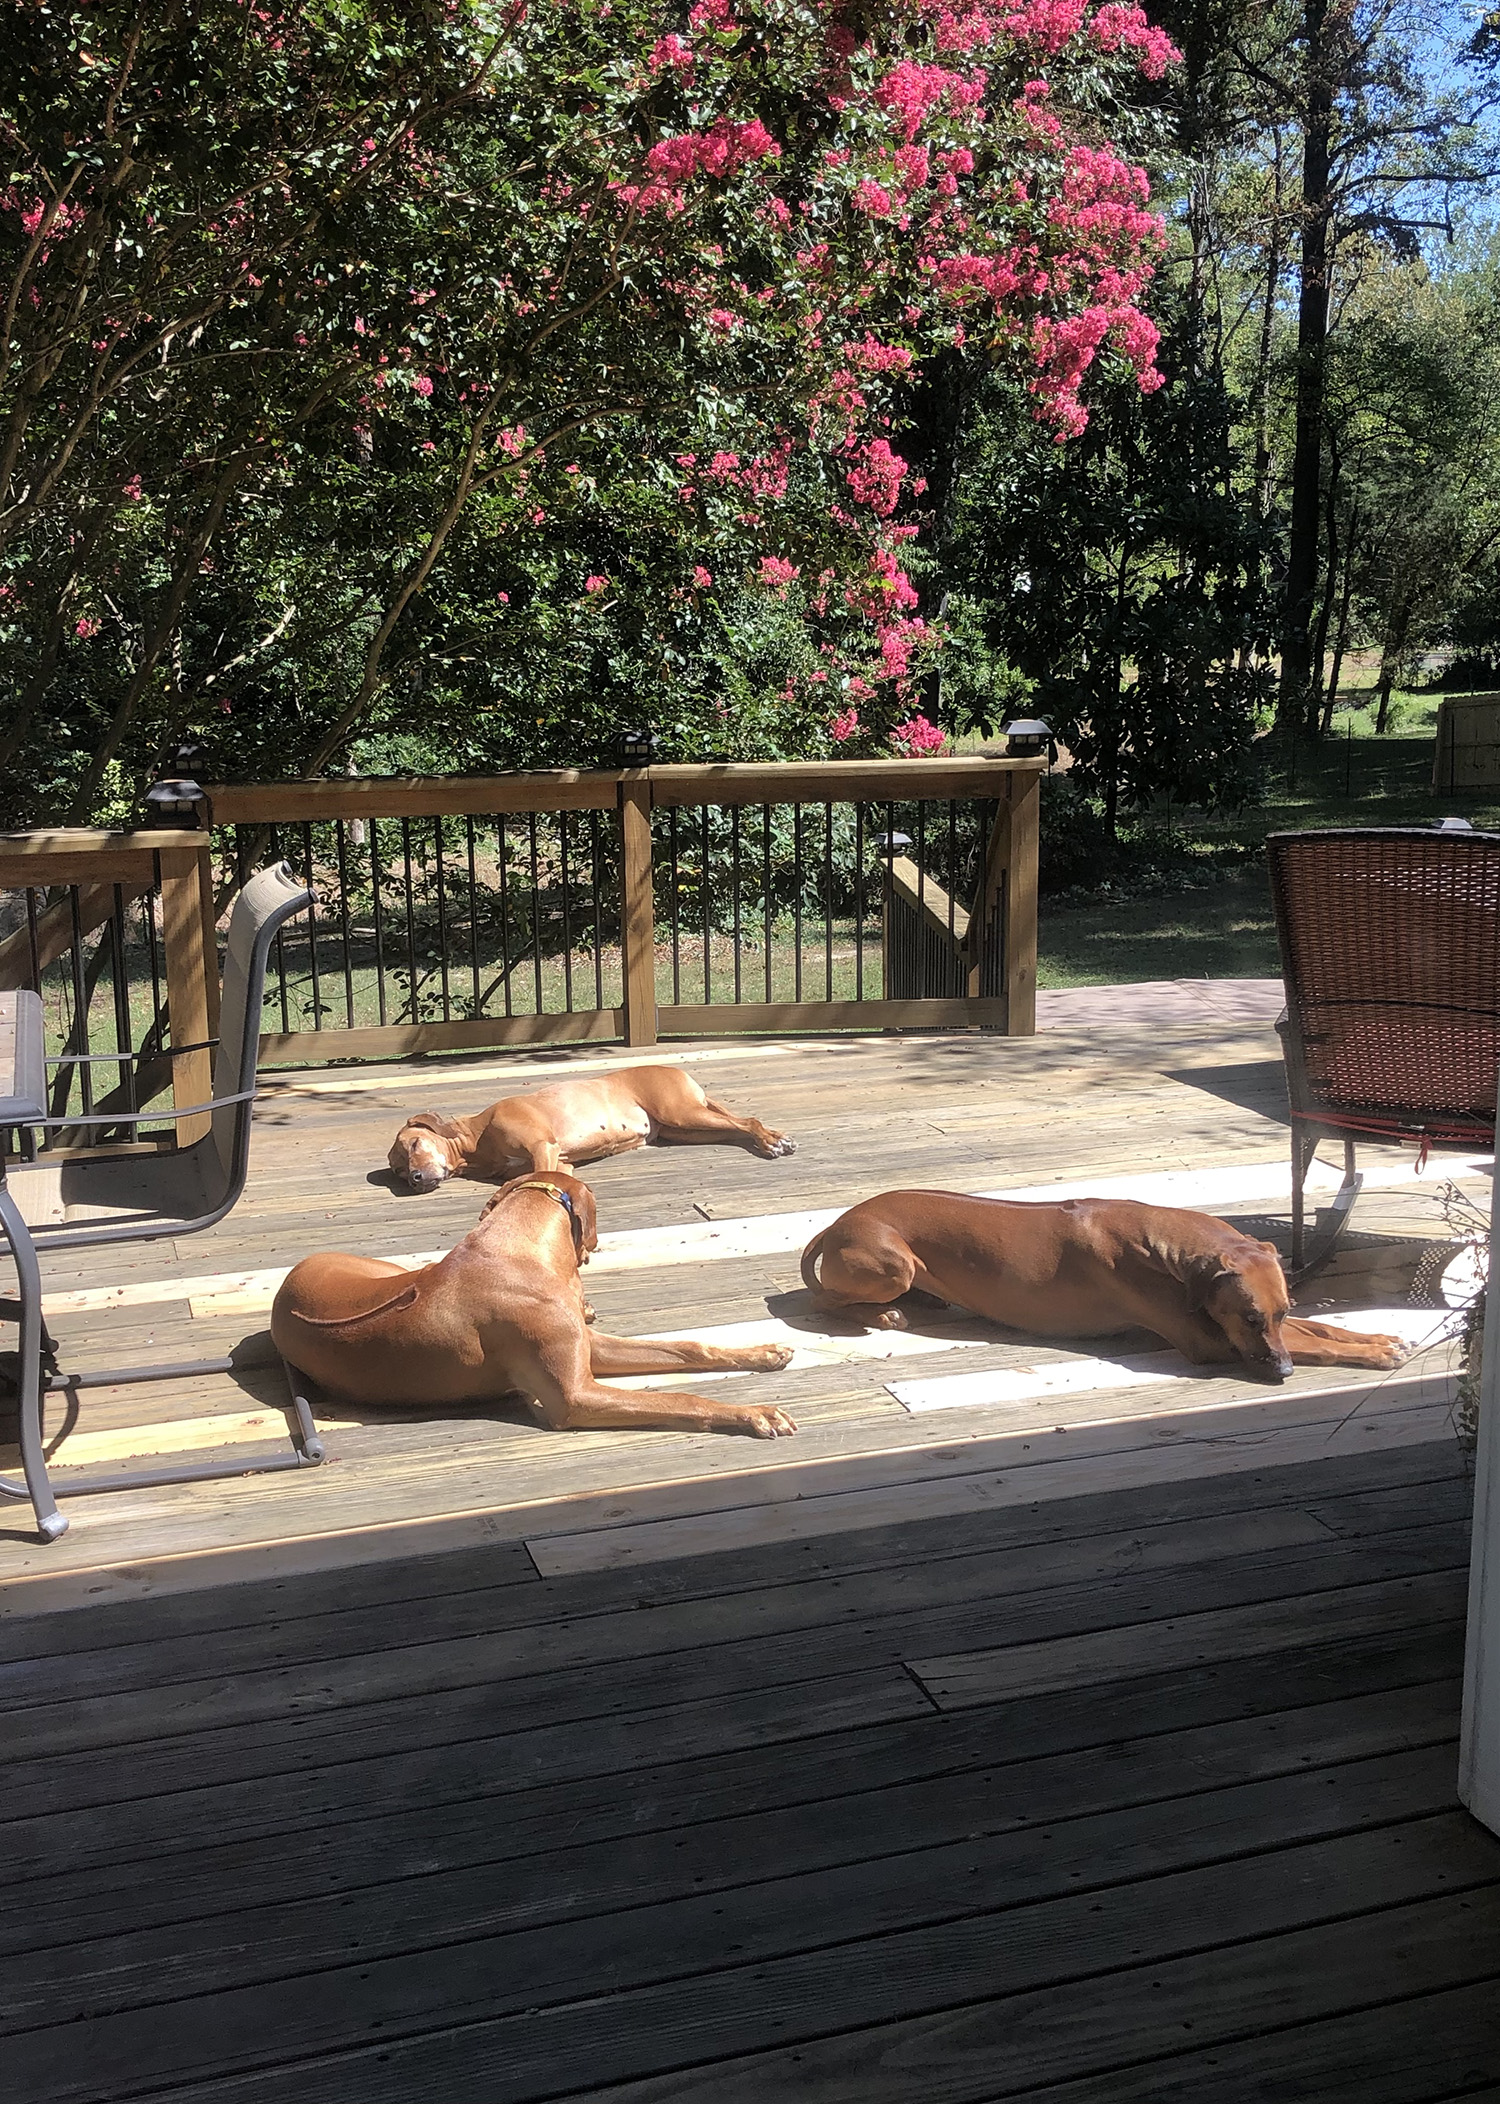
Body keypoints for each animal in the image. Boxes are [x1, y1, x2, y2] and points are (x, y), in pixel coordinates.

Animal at [275, 1169, 803, 1447]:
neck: (514, 1250)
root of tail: (288, 1281)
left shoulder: (590, 1349)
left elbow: (689, 1347)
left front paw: (761, 1353)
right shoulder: (575, 1396)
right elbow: (681, 1399)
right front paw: (753, 1414)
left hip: (391, 1271)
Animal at [389, 1060, 795, 1195]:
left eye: (414, 1146)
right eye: (398, 1171)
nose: (415, 1179)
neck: (477, 1139)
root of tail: (676, 1071)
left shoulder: (543, 1146)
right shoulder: (560, 1162)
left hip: (682, 1111)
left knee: (745, 1121)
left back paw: (770, 1140)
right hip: (685, 1127)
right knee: (734, 1126)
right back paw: (773, 1137)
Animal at [803, 1195, 1396, 1388]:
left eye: (1278, 1311)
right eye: (1248, 1319)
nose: (1283, 1374)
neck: (1161, 1247)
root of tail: (836, 1224)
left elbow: (1317, 1327)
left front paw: (1378, 1338)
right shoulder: (1209, 1340)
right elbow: (1310, 1342)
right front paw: (1371, 1354)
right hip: (892, 1263)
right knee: (825, 1301)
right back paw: (882, 1316)